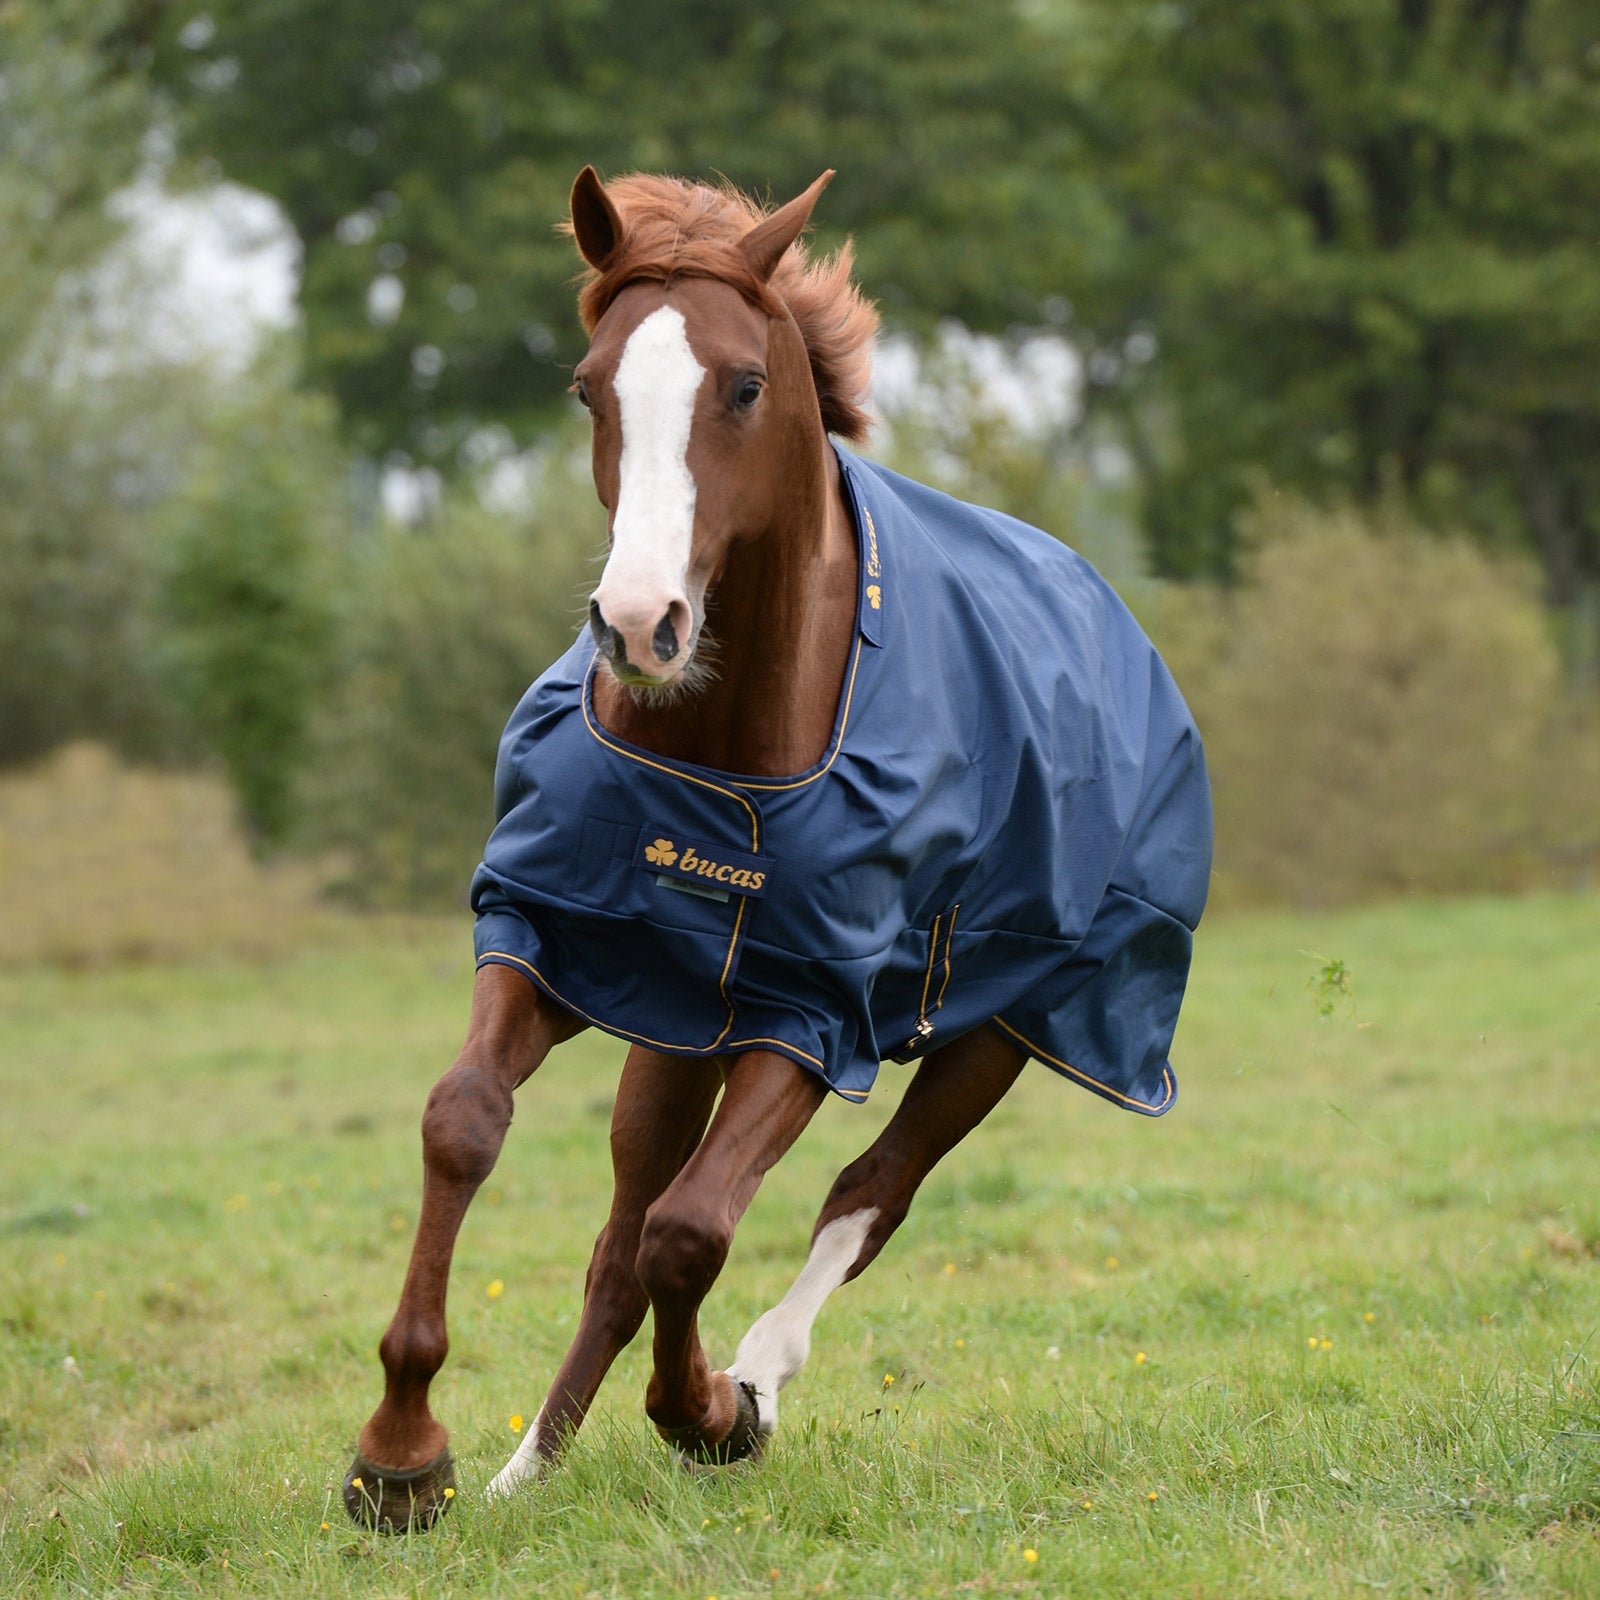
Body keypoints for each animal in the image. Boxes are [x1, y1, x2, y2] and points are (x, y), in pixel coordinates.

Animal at [342, 166, 1212, 1532]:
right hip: (672, 1022)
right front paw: (401, 1451)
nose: (639, 622)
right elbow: (467, 1123)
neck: (721, 757)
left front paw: (712, 1413)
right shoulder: (555, 938)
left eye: (744, 384)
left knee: (865, 1192)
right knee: (619, 1239)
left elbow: (694, 1231)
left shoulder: (813, 1013)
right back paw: (529, 1466)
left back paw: (754, 1368)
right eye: (587, 385)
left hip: (1010, 1026)